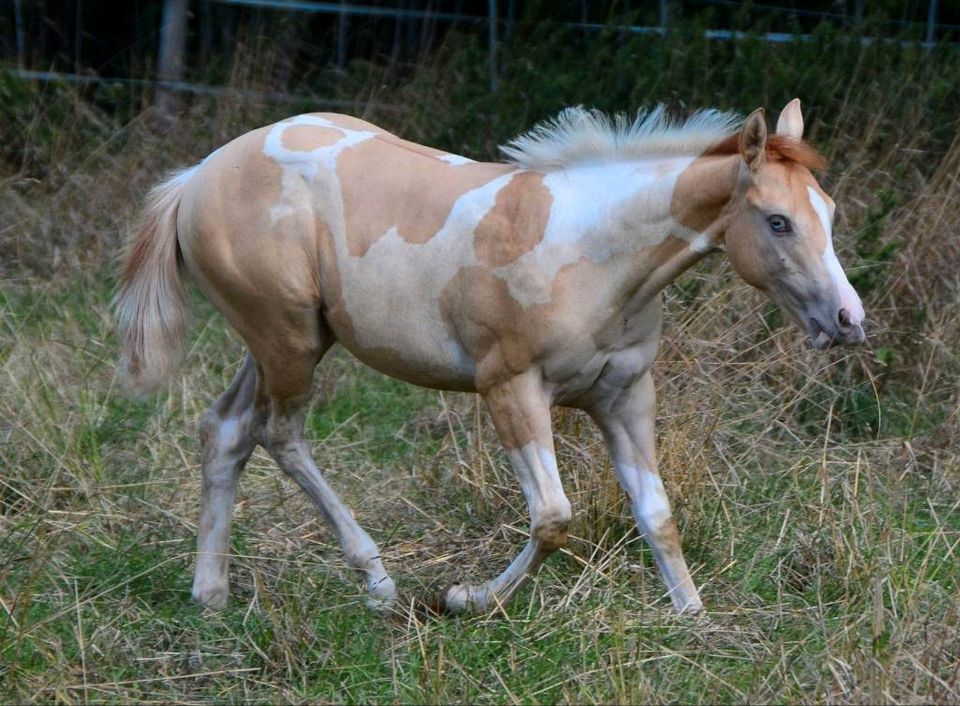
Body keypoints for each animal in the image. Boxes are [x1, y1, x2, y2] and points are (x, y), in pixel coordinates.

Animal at [116, 97, 868, 612]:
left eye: (830, 213)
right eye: (778, 221)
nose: (848, 320)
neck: (593, 253)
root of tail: (199, 175)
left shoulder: (625, 395)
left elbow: (656, 513)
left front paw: (692, 616)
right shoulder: (511, 388)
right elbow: (554, 517)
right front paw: (466, 598)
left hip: (282, 340)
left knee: (227, 430)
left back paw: (210, 593)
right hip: (288, 341)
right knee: (280, 434)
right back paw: (377, 580)